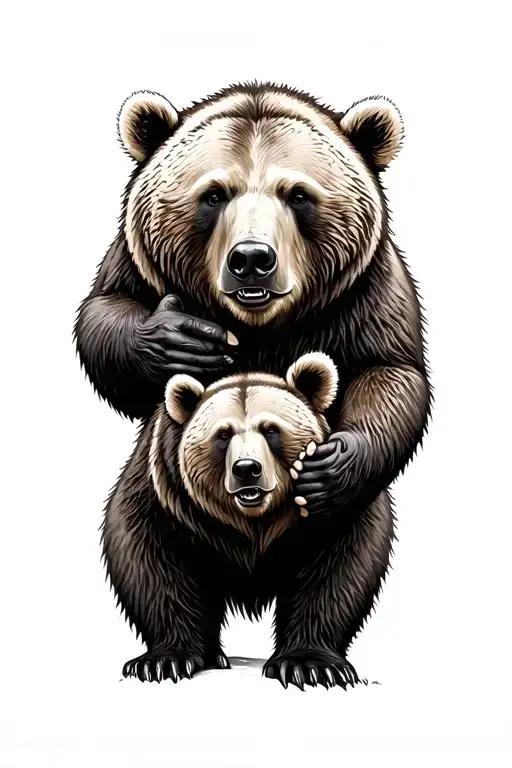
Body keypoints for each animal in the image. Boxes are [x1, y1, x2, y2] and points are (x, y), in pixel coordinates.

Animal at [103, 351, 381, 689]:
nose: (247, 469)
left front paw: (311, 665)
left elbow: (338, 568)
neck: (253, 523)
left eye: (271, 429)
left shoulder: (332, 508)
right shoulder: (168, 499)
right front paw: (164, 660)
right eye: (223, 435)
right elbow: (152, 559)